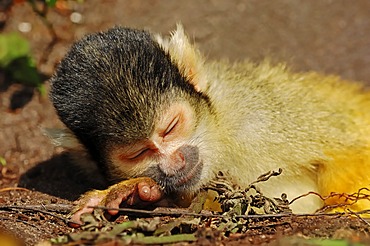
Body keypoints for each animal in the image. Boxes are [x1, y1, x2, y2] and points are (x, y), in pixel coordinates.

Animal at [49, 25, 370, 225]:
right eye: (138, 154)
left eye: (171, 127)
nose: (175, 163)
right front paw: (137, 192)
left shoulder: (260, 116)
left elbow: (352, 153)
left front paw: (344, 209)